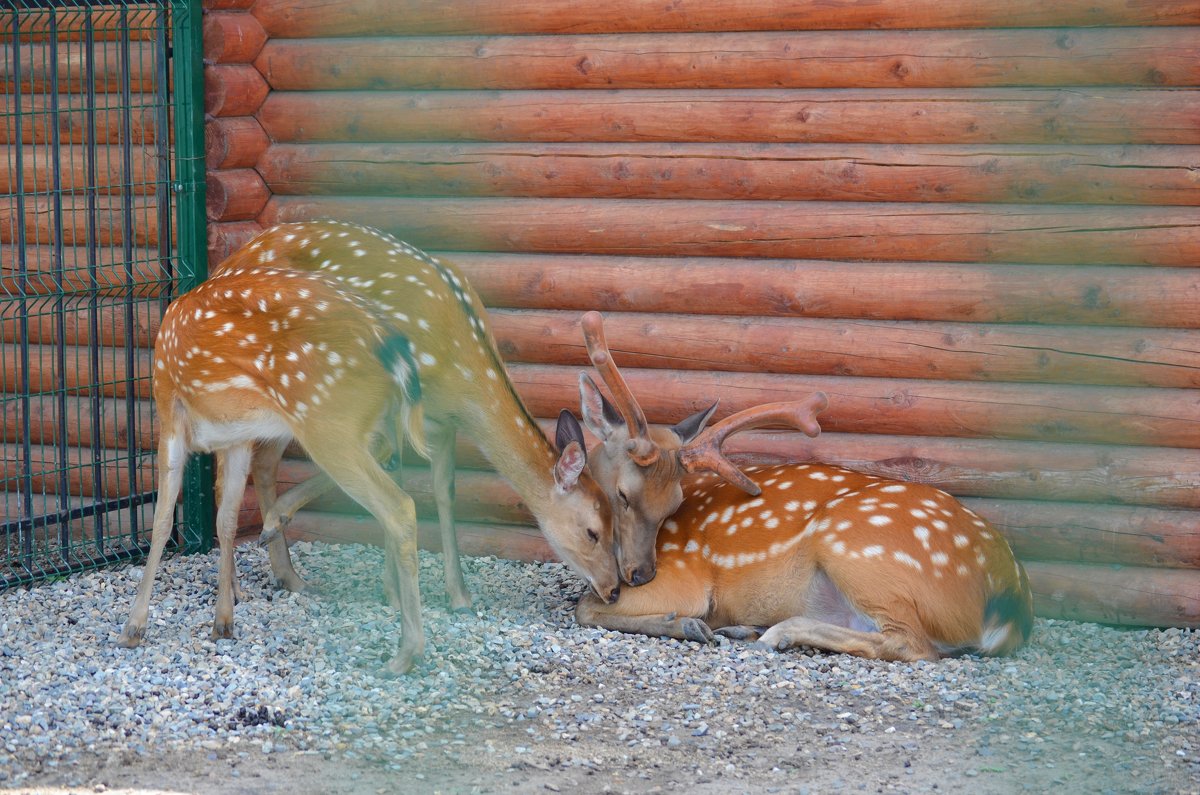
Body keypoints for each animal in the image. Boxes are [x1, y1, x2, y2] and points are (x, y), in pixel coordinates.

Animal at [118, 220, 624, 677]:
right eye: (592, 531)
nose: (616, 589)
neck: (463, 369)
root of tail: (228, 259)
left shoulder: (439, 424)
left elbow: (444, 492)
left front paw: (457, 597)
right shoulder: (413, 416)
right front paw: (396, 590)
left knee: (262, 468)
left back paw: (282, 574)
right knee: (255, 470)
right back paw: (263, 569)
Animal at [571, 314, 1032, 662]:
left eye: (674, 505)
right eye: (624, 495)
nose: (639, 574)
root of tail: (1012, 601)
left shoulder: (684, 577)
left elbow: (584, 608)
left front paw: (685, 623)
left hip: (861, 550)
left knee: (913, 644)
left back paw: (775, 633)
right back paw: (750, 628)